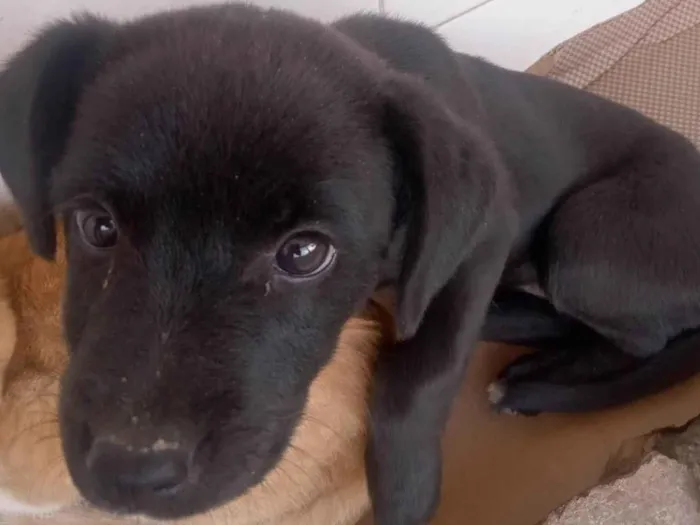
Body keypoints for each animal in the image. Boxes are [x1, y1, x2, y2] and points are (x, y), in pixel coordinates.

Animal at [1, 4, 700, 524]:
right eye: (96, 226)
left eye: (305, 253)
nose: (132, 472)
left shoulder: (485, 234)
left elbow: (417, 380)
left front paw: (405, 493)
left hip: (589, 243)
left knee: (645, 337)